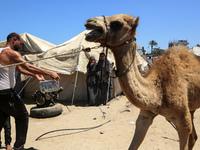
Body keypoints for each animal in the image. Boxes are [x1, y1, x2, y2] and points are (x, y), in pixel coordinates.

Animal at [84, 13, 200, 149]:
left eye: (117, 24)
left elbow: (186, 131)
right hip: (191, 108)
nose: (90, 21)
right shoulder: (145, 116)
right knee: (194, 137)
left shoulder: (183, 123)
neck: (158, 92)